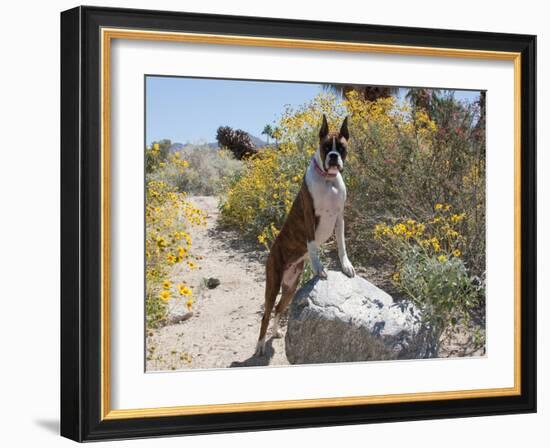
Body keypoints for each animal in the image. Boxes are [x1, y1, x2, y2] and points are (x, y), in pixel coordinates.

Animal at [256, 116, 356, 356]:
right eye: (326, 147)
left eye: (341, 147)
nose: (333, 156)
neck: (328, 180)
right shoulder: (310, 216)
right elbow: (312, 245)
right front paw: (319, 268)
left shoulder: (340, 218)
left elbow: (342, 245)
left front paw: (346, 265)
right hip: (272, 284)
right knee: (266, 313)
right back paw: (260, 344)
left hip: (291, 287)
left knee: (279, 309)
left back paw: (275, 333)